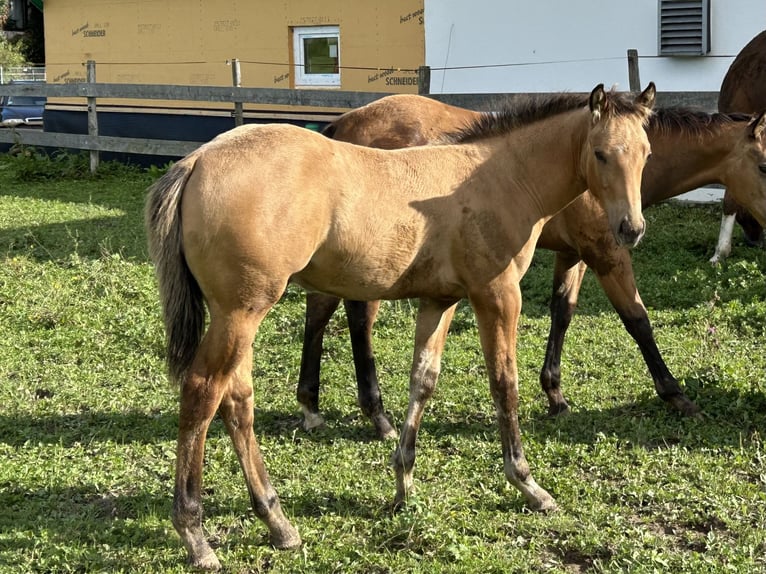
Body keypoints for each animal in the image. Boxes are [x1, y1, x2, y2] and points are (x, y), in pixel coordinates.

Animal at [145, 83, 655, 569]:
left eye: (646, 152)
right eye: (600, 153)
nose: (631, 229)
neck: (501, 177)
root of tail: (195, 161)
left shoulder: (440, 300)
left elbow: (422, 380)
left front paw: (403, 482)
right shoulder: (497, 295)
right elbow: (504, 385)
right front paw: (528, 484)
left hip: (238, 314)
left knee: (237, 401)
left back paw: (278, 521)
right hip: (241, 310)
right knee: (202, 392)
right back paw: (195, 535)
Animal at [298, 93, 766, 438]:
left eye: (648, 154)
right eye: (763, 164)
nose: (633, 229)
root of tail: (343, 124)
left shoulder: (573, 254)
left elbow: (562, 312)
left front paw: (555, 394)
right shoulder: (607, 252)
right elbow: (637, 319)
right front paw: (676, 395)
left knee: (319, 310)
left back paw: (311, 405)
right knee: (358, 319)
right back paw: (377, 416)